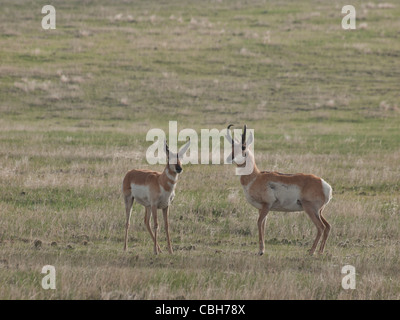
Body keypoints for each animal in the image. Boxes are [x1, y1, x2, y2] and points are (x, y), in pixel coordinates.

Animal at [227, 125, 332, 255]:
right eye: (232, 147)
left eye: (243, 147)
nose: (229, 158)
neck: (256, 177)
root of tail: (324, 184)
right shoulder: (262, 209)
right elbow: (263, 225)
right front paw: (262, 249)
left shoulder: (266, 205)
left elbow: (259, 223)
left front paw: (261, 251)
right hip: (319, 212)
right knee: (328, 226)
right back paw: (320, 252)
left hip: (310, 210)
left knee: (321, 227)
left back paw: (311, 252)